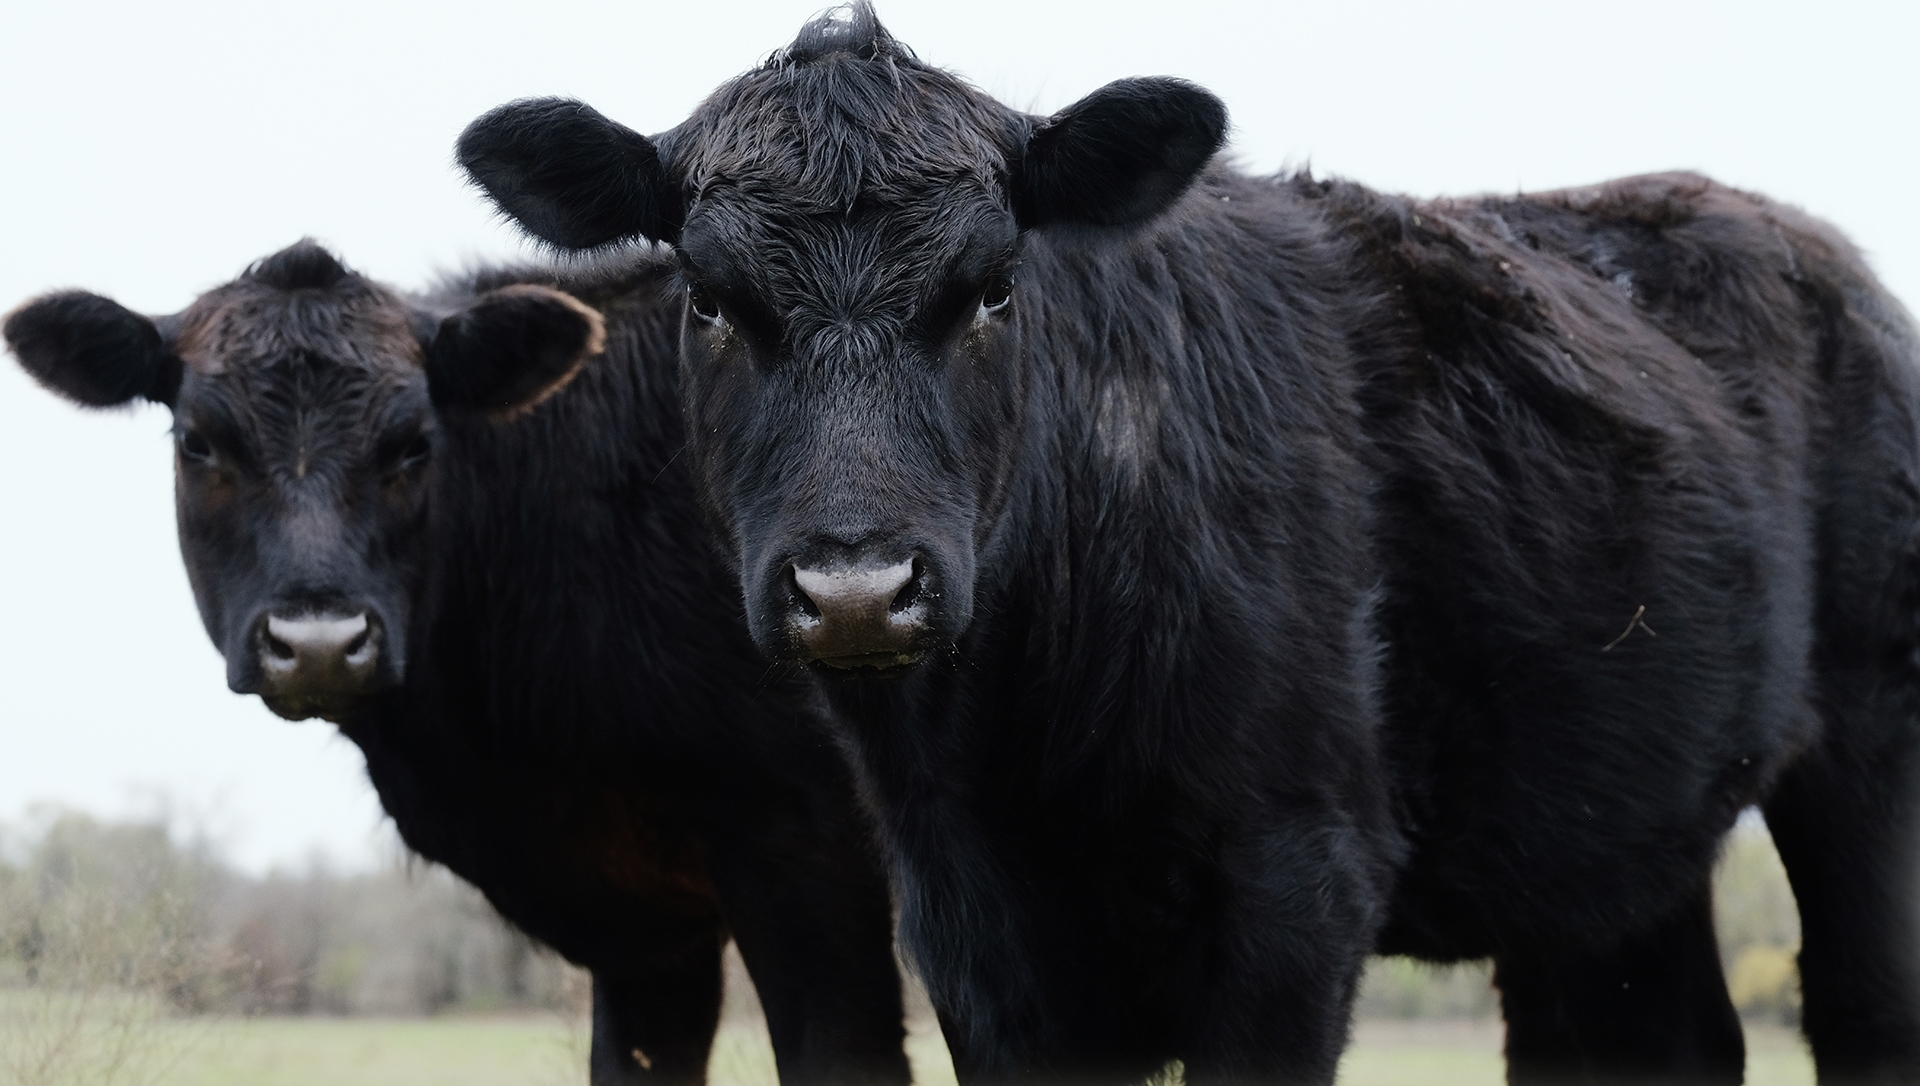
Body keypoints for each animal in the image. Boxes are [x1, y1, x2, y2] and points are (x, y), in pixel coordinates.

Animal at [460, 4, 1920, 1082]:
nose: (860, 590)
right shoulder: (976, 934)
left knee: (1864, 1008)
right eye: (709, 296)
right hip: (1614, 842)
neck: (1020, 743)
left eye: (994, 287)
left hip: (1867, 760)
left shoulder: (1297, 879)